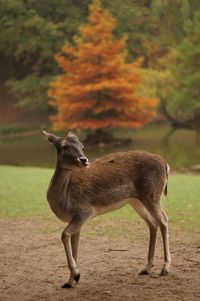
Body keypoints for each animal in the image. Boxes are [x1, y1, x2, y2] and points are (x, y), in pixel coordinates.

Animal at [43, 130, 170, 288]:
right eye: (64, 146)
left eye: (82, 146)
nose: (83, 160)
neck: (64, 201)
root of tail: (165, 164)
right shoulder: (77, 219)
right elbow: (75, 245)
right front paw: (71, 281)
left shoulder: (84, 211)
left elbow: (64, 235)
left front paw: (76, 275)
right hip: (136, 201)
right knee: (153, 223)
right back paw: (146, 268)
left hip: (152, 194)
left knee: (163, 220)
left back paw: (165, 268)